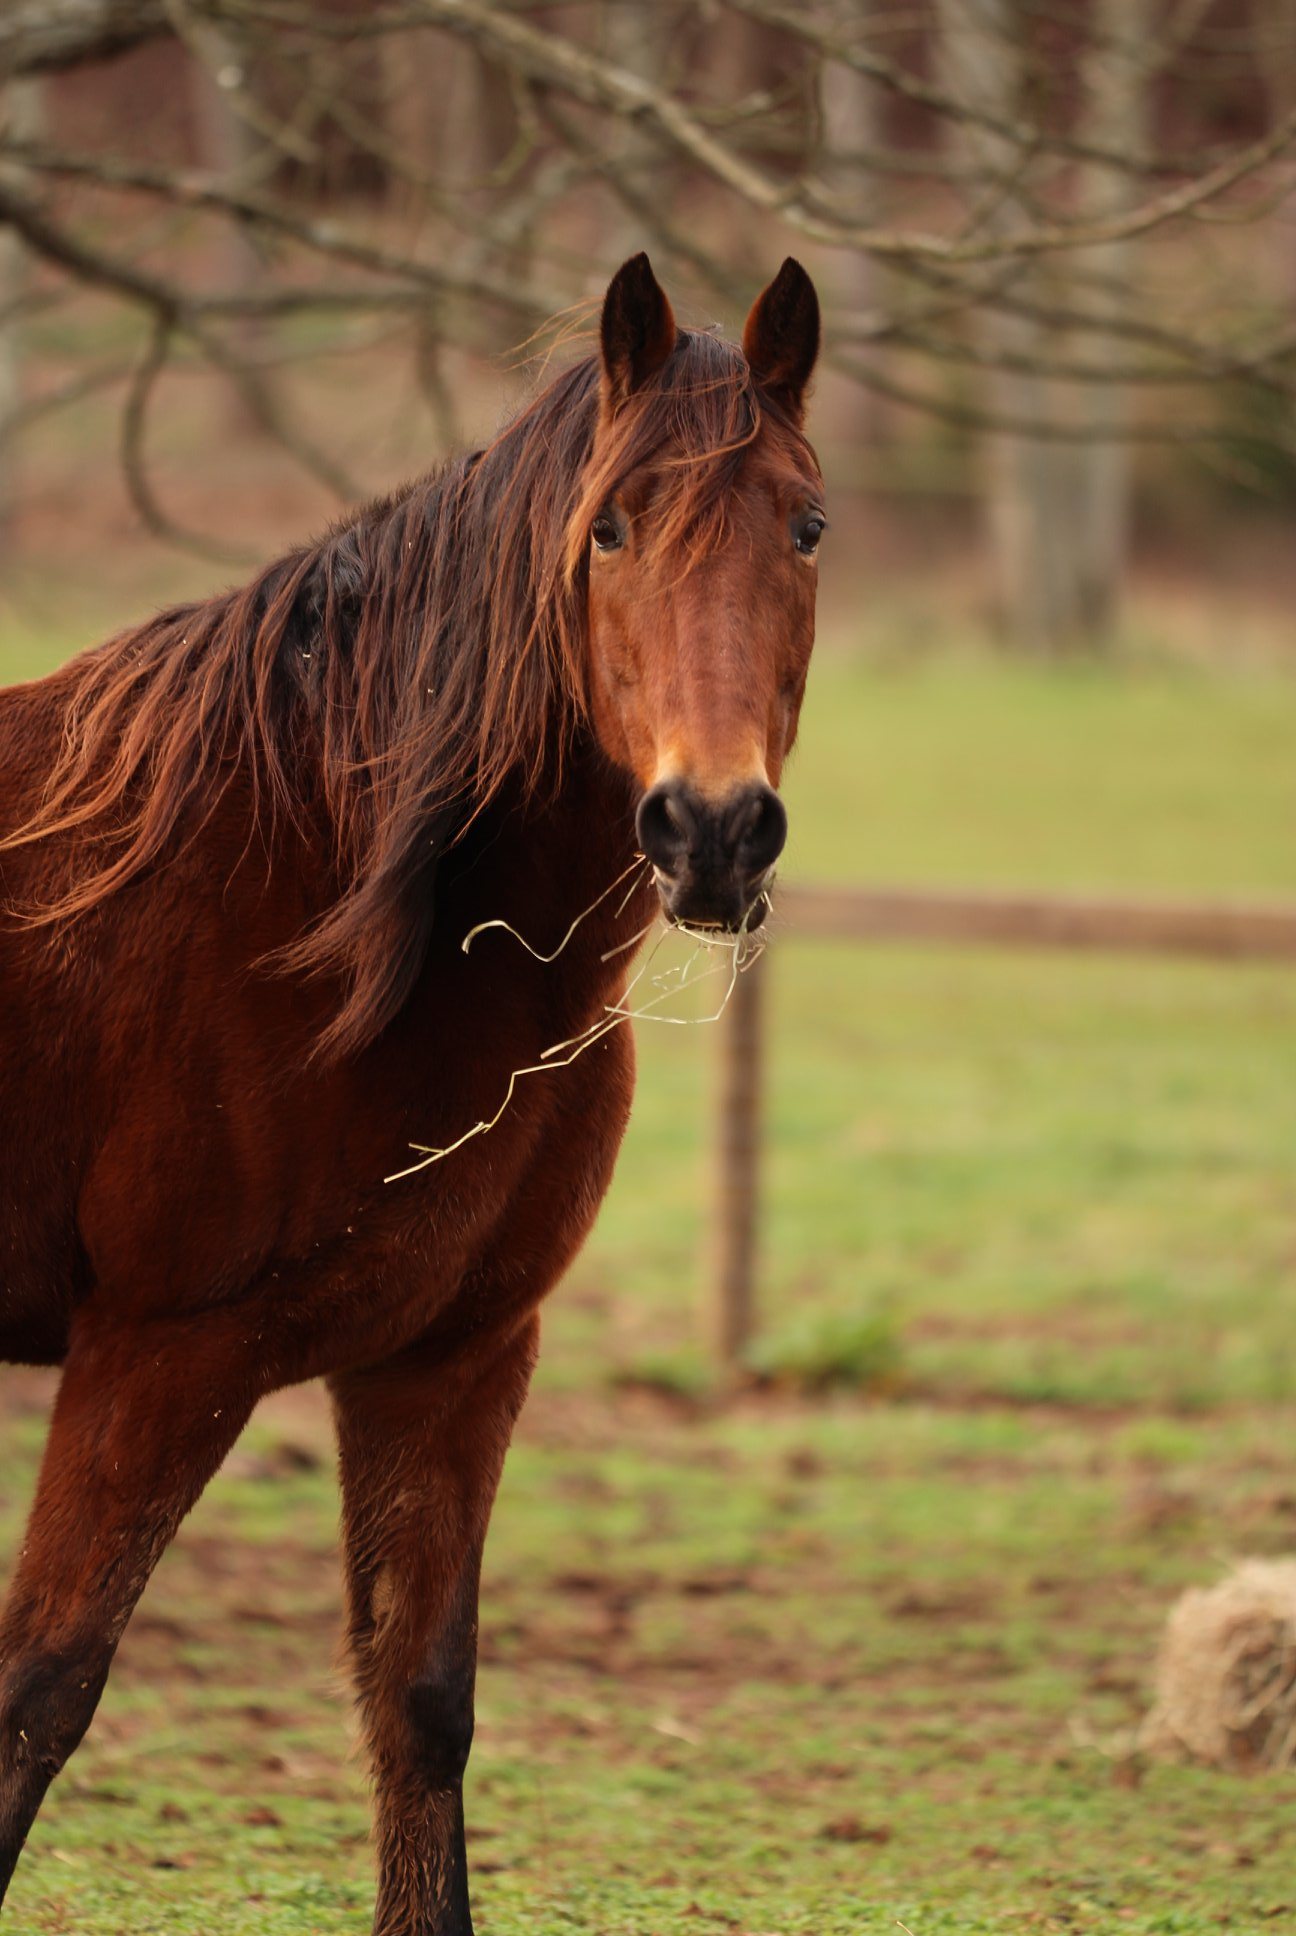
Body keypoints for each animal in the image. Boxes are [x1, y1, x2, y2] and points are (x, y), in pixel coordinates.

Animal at [0, 251, 823, 1934]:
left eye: (809, 527)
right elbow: (38, 1694)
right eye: (611, 527)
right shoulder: (155, 1361)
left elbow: (420, 1704)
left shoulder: (446, 1361)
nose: (714, 830)